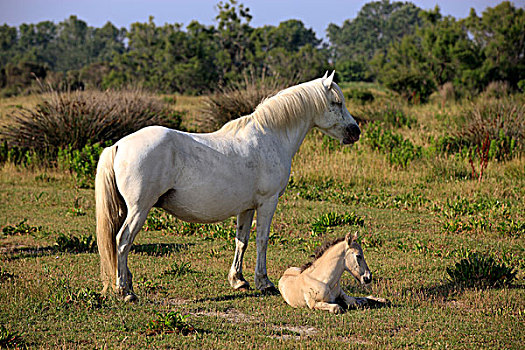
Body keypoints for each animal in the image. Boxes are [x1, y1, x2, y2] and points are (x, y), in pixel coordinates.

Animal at [95, 71, 360, 300]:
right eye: (336, 102)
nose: (355, 131)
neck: (271, 136)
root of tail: (118, 145)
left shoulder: (247, 207)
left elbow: (241, 240)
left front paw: (239, 280)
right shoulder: (268, 202)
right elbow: (262, 239)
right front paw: (264, 282)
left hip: (127, 210)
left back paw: (126, 284)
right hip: (139, 209)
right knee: (122, 241)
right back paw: (126, 292)